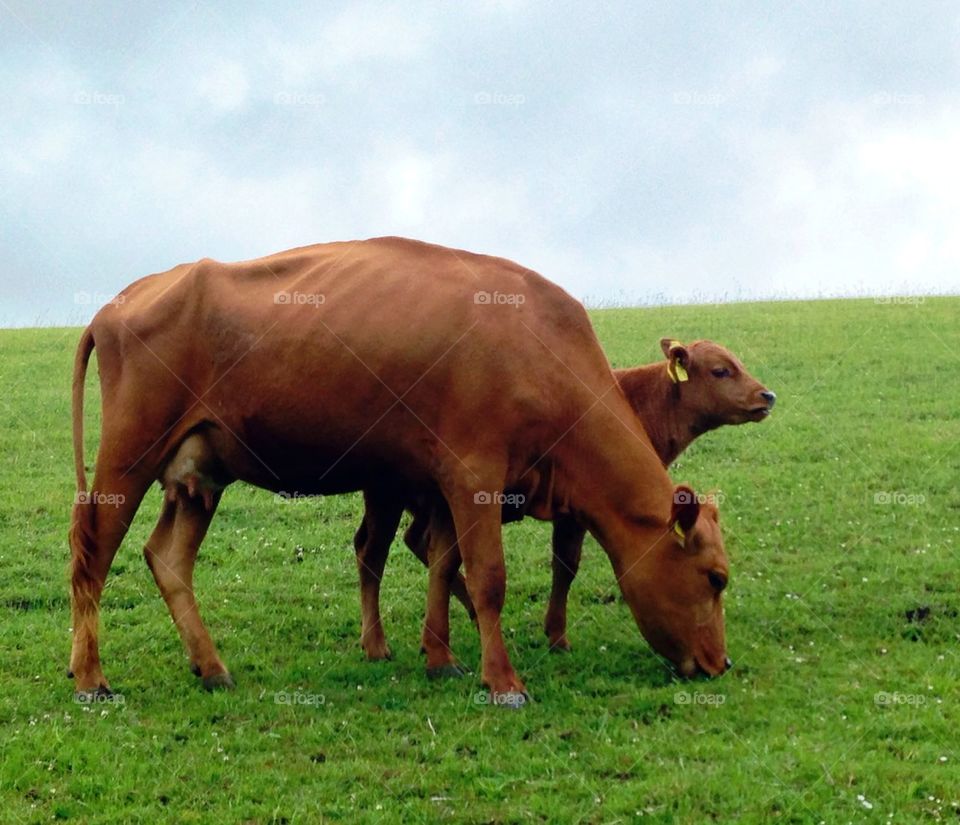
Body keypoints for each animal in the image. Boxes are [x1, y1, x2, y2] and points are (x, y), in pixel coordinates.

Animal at [68, 237, 732, 701]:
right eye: (717, 578)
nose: (722, 664)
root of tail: (120, 301)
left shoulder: (440, 482)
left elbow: (442, 564)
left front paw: (441, 660)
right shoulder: (474, 476)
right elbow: (486, 577)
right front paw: (503, 682)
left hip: (198, 473)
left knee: (167, 559)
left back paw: (210, 668)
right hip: (127, 457)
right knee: (92, 554)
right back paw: (91, 677)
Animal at [353, 338, 774, 660]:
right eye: (721, 370)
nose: (767, 395)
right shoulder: (579, 510)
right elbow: (566, 565)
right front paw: (557, 636)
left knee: (404, 543)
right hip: (393, 497)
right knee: (383, 550)